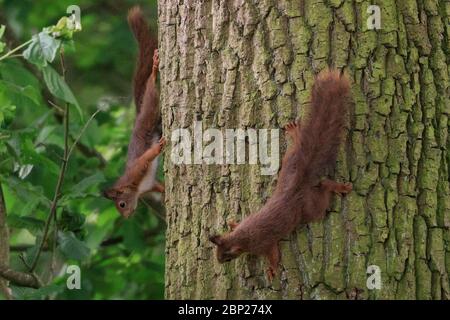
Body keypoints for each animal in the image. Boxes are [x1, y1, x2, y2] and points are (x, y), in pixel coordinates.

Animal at [209, 70, 354, 280]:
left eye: (227, 258)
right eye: (218, 254)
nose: (219, 263)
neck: (243, 238)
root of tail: (297, 183)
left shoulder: (265, 244)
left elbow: (274, 255)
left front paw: (272, 270)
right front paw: (232, 222)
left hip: (310, 209)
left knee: (324, 188)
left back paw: (339, 187)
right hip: (290, 161)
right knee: (299, 148)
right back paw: (295, 133)